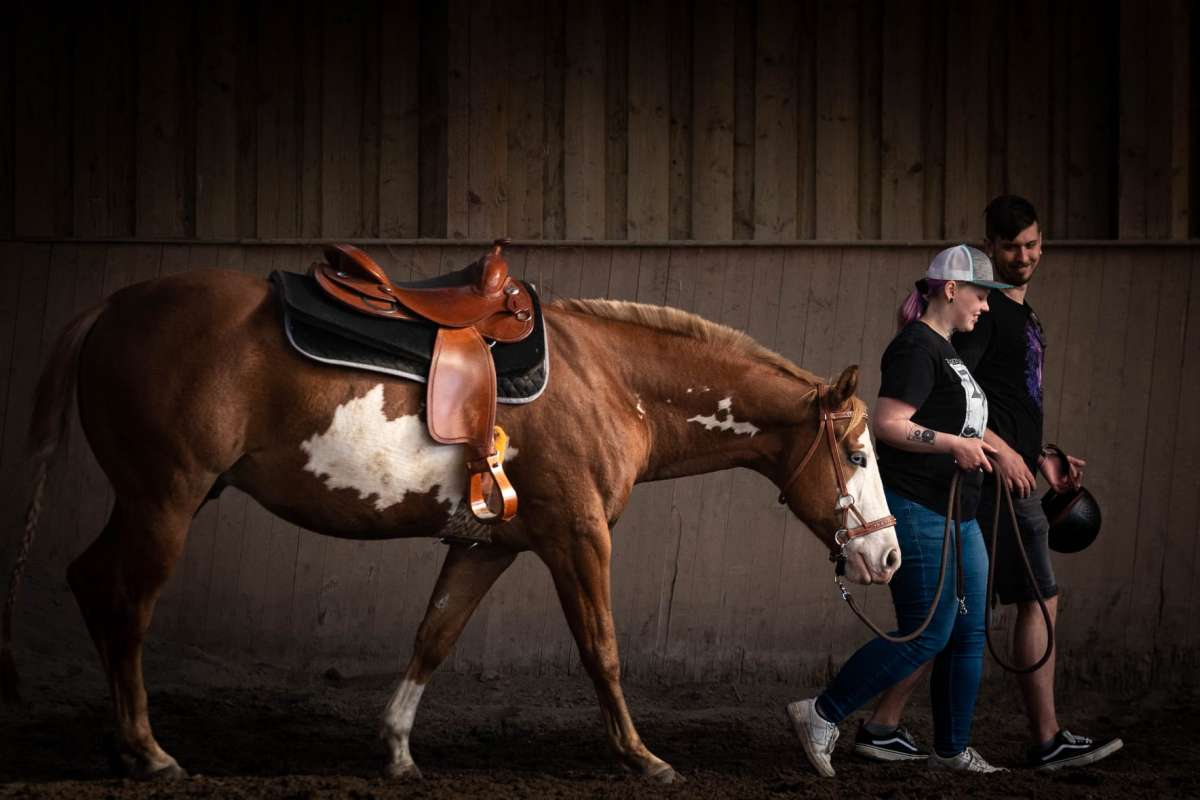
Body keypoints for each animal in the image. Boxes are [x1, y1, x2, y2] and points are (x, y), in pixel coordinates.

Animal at [2, 266, 902, 786]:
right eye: (859, 453)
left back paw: (120, 745)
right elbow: (602, 649)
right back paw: (151, 751)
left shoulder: (487, 548)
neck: (613, 381)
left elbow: (434, 637)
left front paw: (398, 750)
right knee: (129, 607)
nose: (889, 558)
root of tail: (113, 306)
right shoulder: (578, 537)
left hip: (144, 500)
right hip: (166, 500)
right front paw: (643, 758)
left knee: (89, 582)